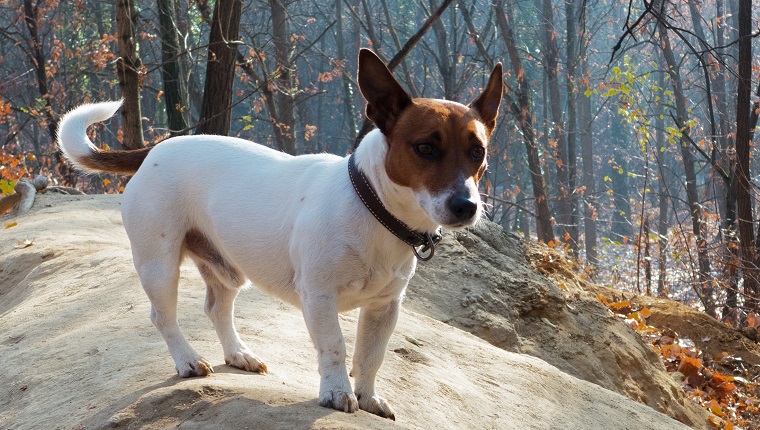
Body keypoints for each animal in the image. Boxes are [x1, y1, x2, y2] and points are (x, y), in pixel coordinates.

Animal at [58, 47, 498, 420]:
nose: (466, 206)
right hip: (158, 265)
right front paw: (337, 392)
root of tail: (155, 149)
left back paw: (239, 354)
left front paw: (369, 397)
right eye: (425, 148)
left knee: (216, 308)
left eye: (478, 152)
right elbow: (335, 347)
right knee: (162, 316)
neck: (373, 208)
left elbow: (371, 356)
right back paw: (187, 360)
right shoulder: (318, 296)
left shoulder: (385, 307)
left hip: (226, 268)